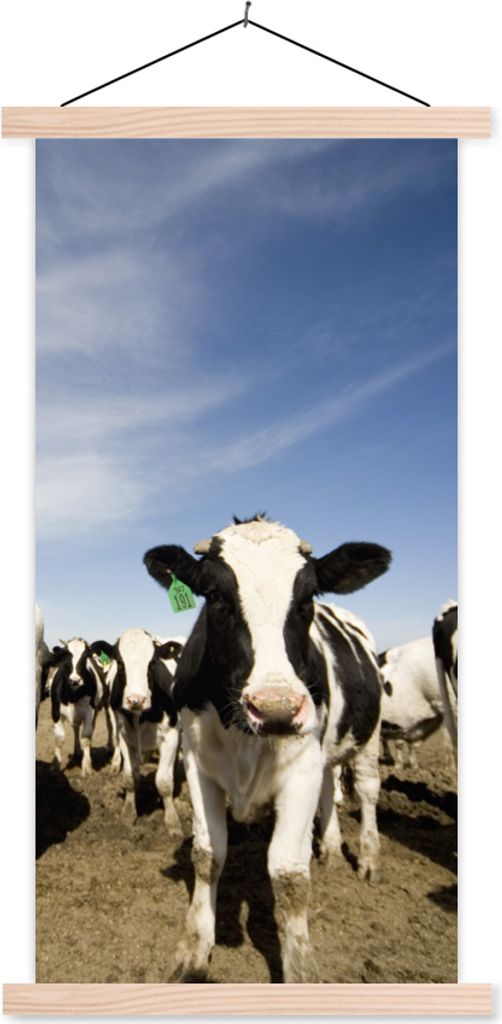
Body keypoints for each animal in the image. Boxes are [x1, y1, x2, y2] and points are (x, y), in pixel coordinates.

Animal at [48, 638, 107, 776]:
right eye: (65, 656)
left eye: (85, 657)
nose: (75, 680)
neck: (72, 696)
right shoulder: (55, 711)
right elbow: (59, 738)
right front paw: (55, 766)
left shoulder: (90, 712)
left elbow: (86, 737)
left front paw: (87, 767)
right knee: (75, 728)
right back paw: (77, 751)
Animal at [93, 629, 185, 836]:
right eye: (120, 663)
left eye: (152, 663)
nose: (136, 699)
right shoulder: (125, 738)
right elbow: (129, 777)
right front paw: (128, 813)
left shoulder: (171, 735)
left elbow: (164, 782)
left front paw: (172, 821)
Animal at [143, 514, 391, 983]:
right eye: (215, 595)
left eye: (308, 596)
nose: (276, 707)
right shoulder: (198, 766)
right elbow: (207, 854)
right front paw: (193, 952)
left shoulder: (301, 770)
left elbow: (290, 875)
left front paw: (300, 969)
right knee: (330, 789)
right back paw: (331, 848)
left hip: (368, 736)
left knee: (367, 790)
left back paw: (368, 857)